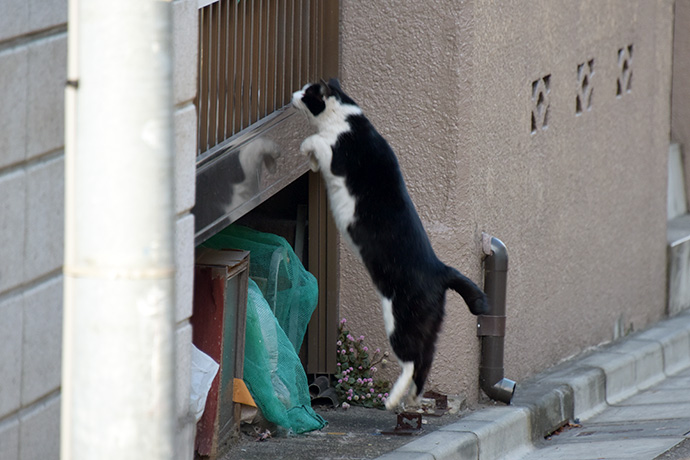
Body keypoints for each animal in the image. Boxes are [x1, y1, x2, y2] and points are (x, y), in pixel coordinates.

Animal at [292, 79, 486, 410]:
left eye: (307, 94)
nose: (292, 95)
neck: (346, 119)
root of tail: (441, 269)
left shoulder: (336, 152)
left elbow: (315, 141)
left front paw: (308, 150)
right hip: (430, 325)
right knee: (425, 361)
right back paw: (413, 396)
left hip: (401, 320)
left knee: (412, 359)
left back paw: (393, 399)